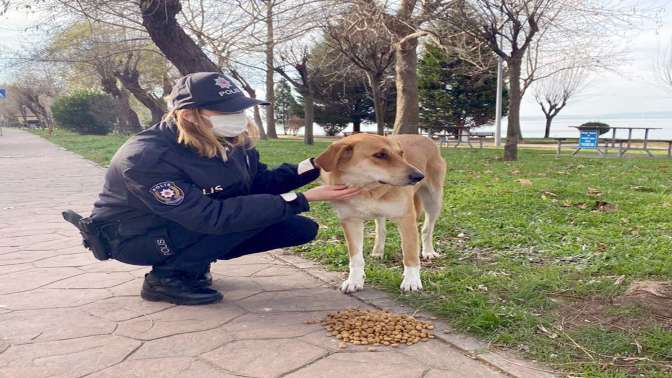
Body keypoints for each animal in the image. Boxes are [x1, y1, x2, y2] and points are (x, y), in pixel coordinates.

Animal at [71, 72, 360, 306]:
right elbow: (216, 214)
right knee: (225, 223)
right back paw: (173, 285)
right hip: (157, 243)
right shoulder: (153, 172)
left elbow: (264, 179)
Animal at [316, 133, 446, 292]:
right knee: (381, 229)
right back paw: (378, 251)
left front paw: (411, 280)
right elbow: (356, 257)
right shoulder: (350, 221)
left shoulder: (406, 218)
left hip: (433, 200)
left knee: (427, 228)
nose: (419, 176)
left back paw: (428, 252)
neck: (367, 190)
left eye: (401, 154)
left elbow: (410, 253)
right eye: (380, 155)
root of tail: (424, 137)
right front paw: (354, 280)